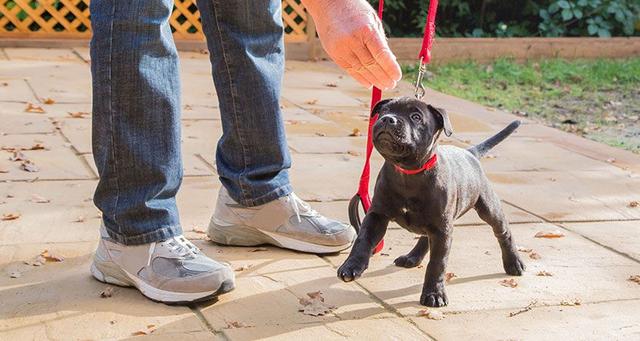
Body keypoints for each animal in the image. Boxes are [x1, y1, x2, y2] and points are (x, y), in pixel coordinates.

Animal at [338, 95, 524, 306]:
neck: (408, 173)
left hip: (487, 207)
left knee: (503, 232)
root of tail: (470, 153)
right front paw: (352, 266)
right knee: (425, 237)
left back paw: (514, 263)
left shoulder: (442, 229)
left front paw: (434, 293)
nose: (387, 119)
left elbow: (437, 263)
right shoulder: (377, 215)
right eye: (384, 110)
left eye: (416, 117)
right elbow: (363, 239)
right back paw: (412, 257)